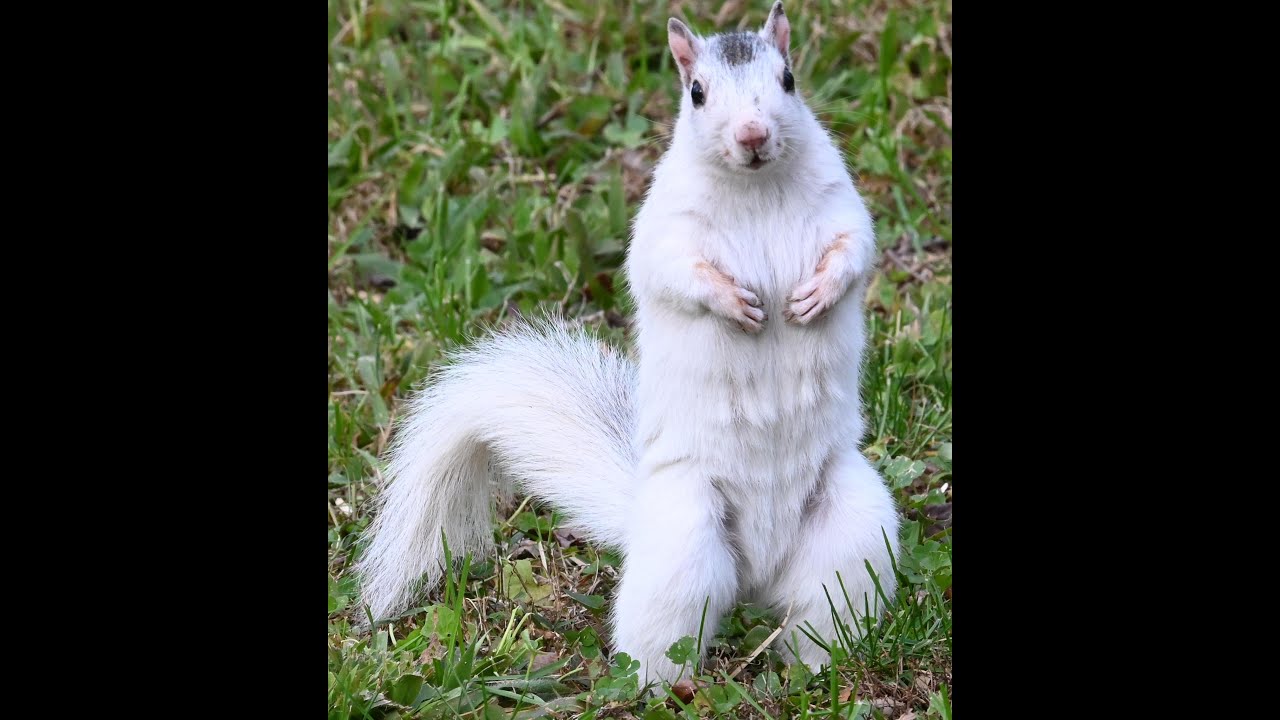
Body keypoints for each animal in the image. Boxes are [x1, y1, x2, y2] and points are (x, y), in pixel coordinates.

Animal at [358, 1, 900, 685]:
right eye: (697, 93)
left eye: (789, 79)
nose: (752, 135)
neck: (755, 189)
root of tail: (757, 575)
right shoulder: (665, 229)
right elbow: (675, 272)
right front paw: (734, 303)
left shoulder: (841, 207)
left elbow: (854, 249)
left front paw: (815, 296)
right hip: (683, 545)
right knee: (666, 633)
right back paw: (656, 686)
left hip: (853, 536)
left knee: (822, 616)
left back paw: (818, 669)